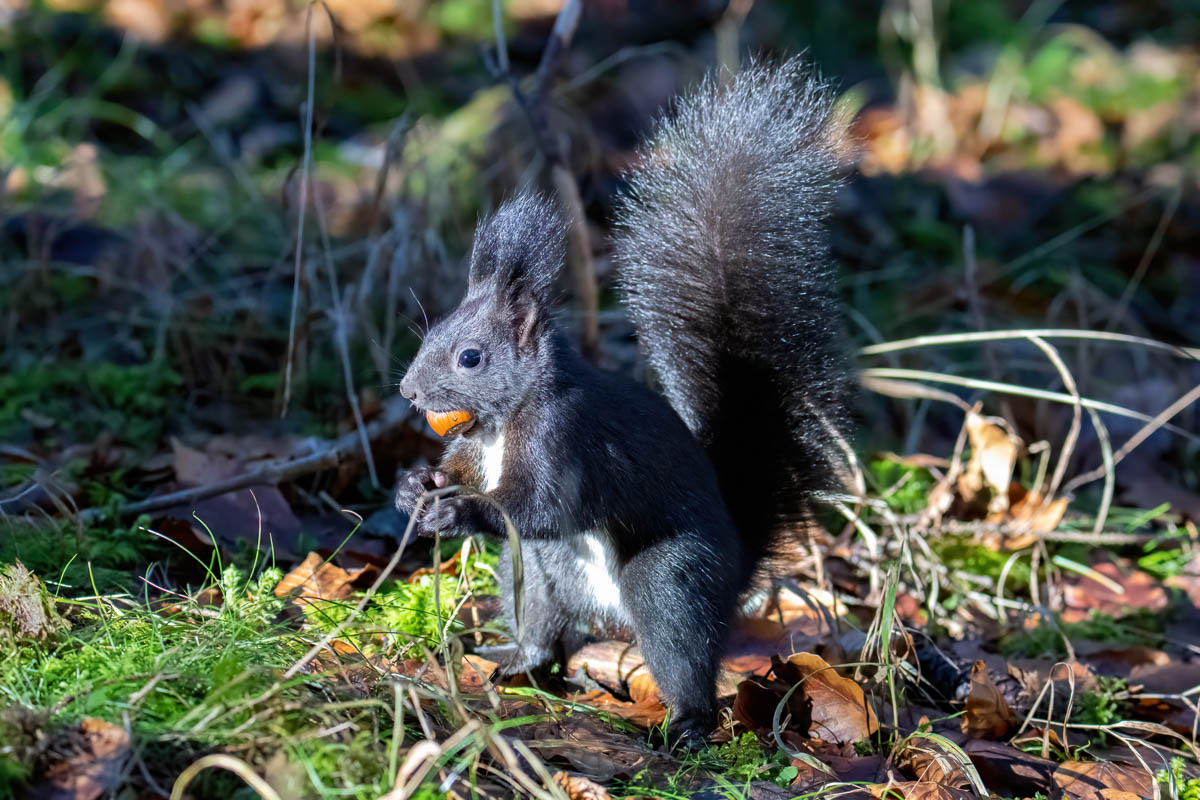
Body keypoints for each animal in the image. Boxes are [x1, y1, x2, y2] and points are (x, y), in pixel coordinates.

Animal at [396, 57, 854, 753]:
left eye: (469, 357)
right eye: (431, 336)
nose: (409, 392)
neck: (506, 419)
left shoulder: (567, 439)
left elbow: (543, 506)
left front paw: (460, 510)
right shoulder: (478, 448)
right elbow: (467, 474)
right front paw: (416, 486)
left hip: (668, 582)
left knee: (682, 653)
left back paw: (686, 726)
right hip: (538, 573)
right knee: (543, 623)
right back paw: (518, 662)